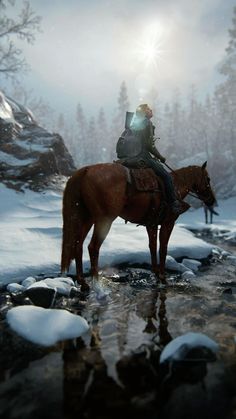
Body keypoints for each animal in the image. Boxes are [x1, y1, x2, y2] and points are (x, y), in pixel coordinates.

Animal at [60, 162, 216, 292]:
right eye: (208, 179)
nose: (212, 200)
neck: (176, 185)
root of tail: (85, 171)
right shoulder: (167, 224)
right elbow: (163, 248)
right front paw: (163, 277)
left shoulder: (151, 225)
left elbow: (153, 247)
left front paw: (156, 274)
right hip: (104, 220)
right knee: (93, 247)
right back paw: (97, 284)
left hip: (87, 219)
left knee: (78, 245)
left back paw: (83, 283)